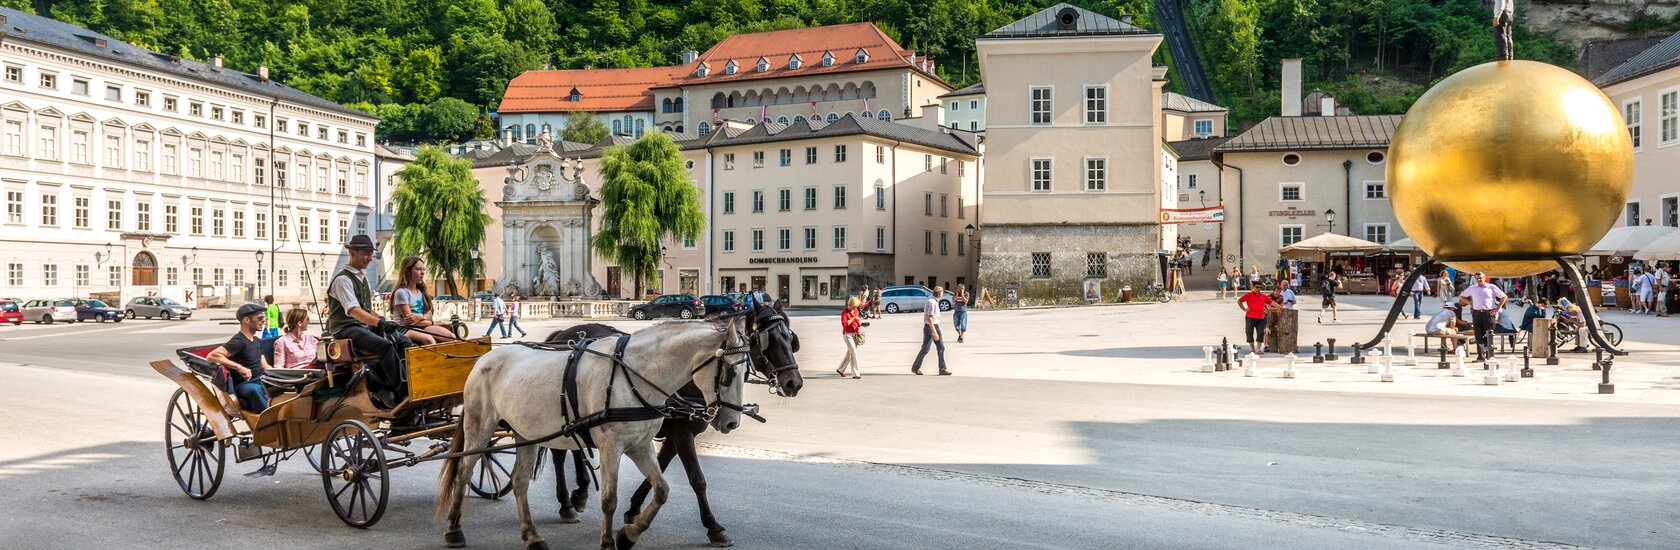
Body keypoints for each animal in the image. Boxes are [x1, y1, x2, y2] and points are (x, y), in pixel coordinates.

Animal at [436, 316, 752, 548]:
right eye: (730, 373)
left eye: (746, 372)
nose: (732, 423)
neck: (634, 374)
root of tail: (484, 359)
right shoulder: (613, 446)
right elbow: (610, 500)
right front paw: (609, 540)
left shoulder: (640, 445)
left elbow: (662, 490)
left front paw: (629, 533)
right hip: (480, 425)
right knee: (464, 471)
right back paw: (453, 530)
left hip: (526, 433)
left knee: (520, 481)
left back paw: (533, 534)